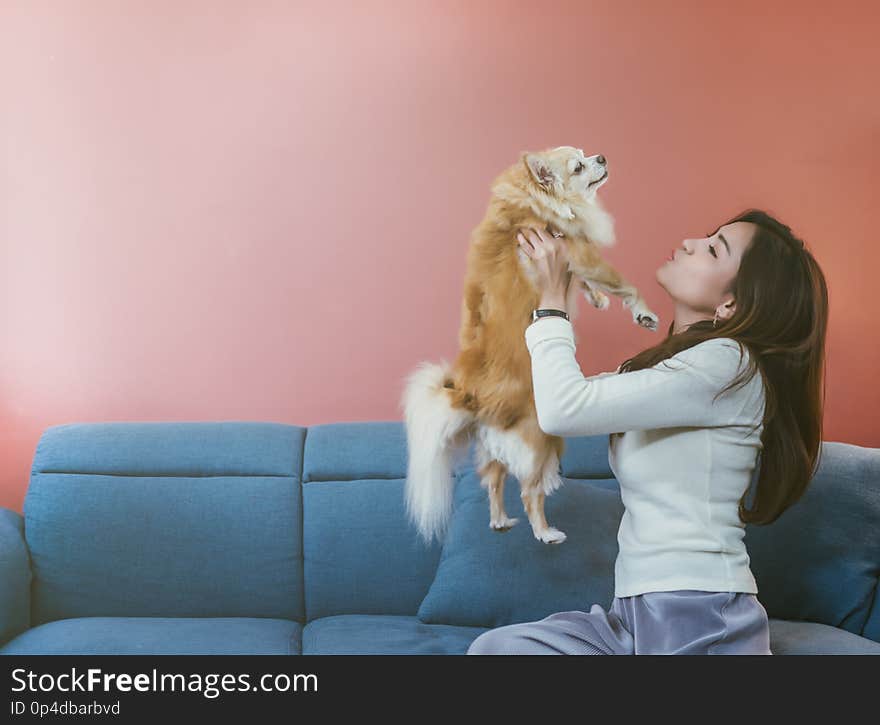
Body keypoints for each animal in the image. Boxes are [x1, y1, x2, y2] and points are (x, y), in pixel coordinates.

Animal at [402, 146, 656, 544]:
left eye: (585, 154)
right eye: (579, 167)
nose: (601, 157)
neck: (532, 197)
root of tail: (471, 398)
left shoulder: (572, 262)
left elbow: (584, 282)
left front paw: (597, 298)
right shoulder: (580, 254)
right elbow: (624, 284)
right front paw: (643, 312)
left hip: (494, 449)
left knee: (493, 481)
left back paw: (500, 521)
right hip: (543, 442)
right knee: (529, 491)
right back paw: (545, 532)